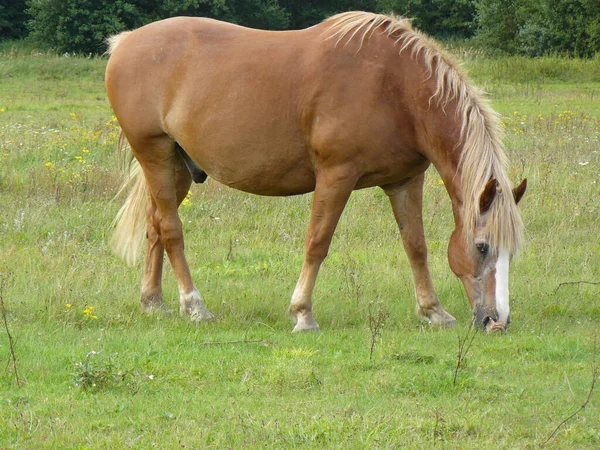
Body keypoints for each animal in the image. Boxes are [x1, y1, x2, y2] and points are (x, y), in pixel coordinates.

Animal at [106, 11, 524, 334]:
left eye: (512, 251)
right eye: (482, 246)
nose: (497, 321)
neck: (395, 86)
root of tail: (124, 42)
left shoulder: (404, 181)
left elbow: (415, 246)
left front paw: (433, 311)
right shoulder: (336, 177)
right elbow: (317, 243)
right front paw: (302, 314)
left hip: (175, 166)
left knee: (155, 225)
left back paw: (153, 302)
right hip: (155, 154)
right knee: (171, 230)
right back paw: (194, 306)